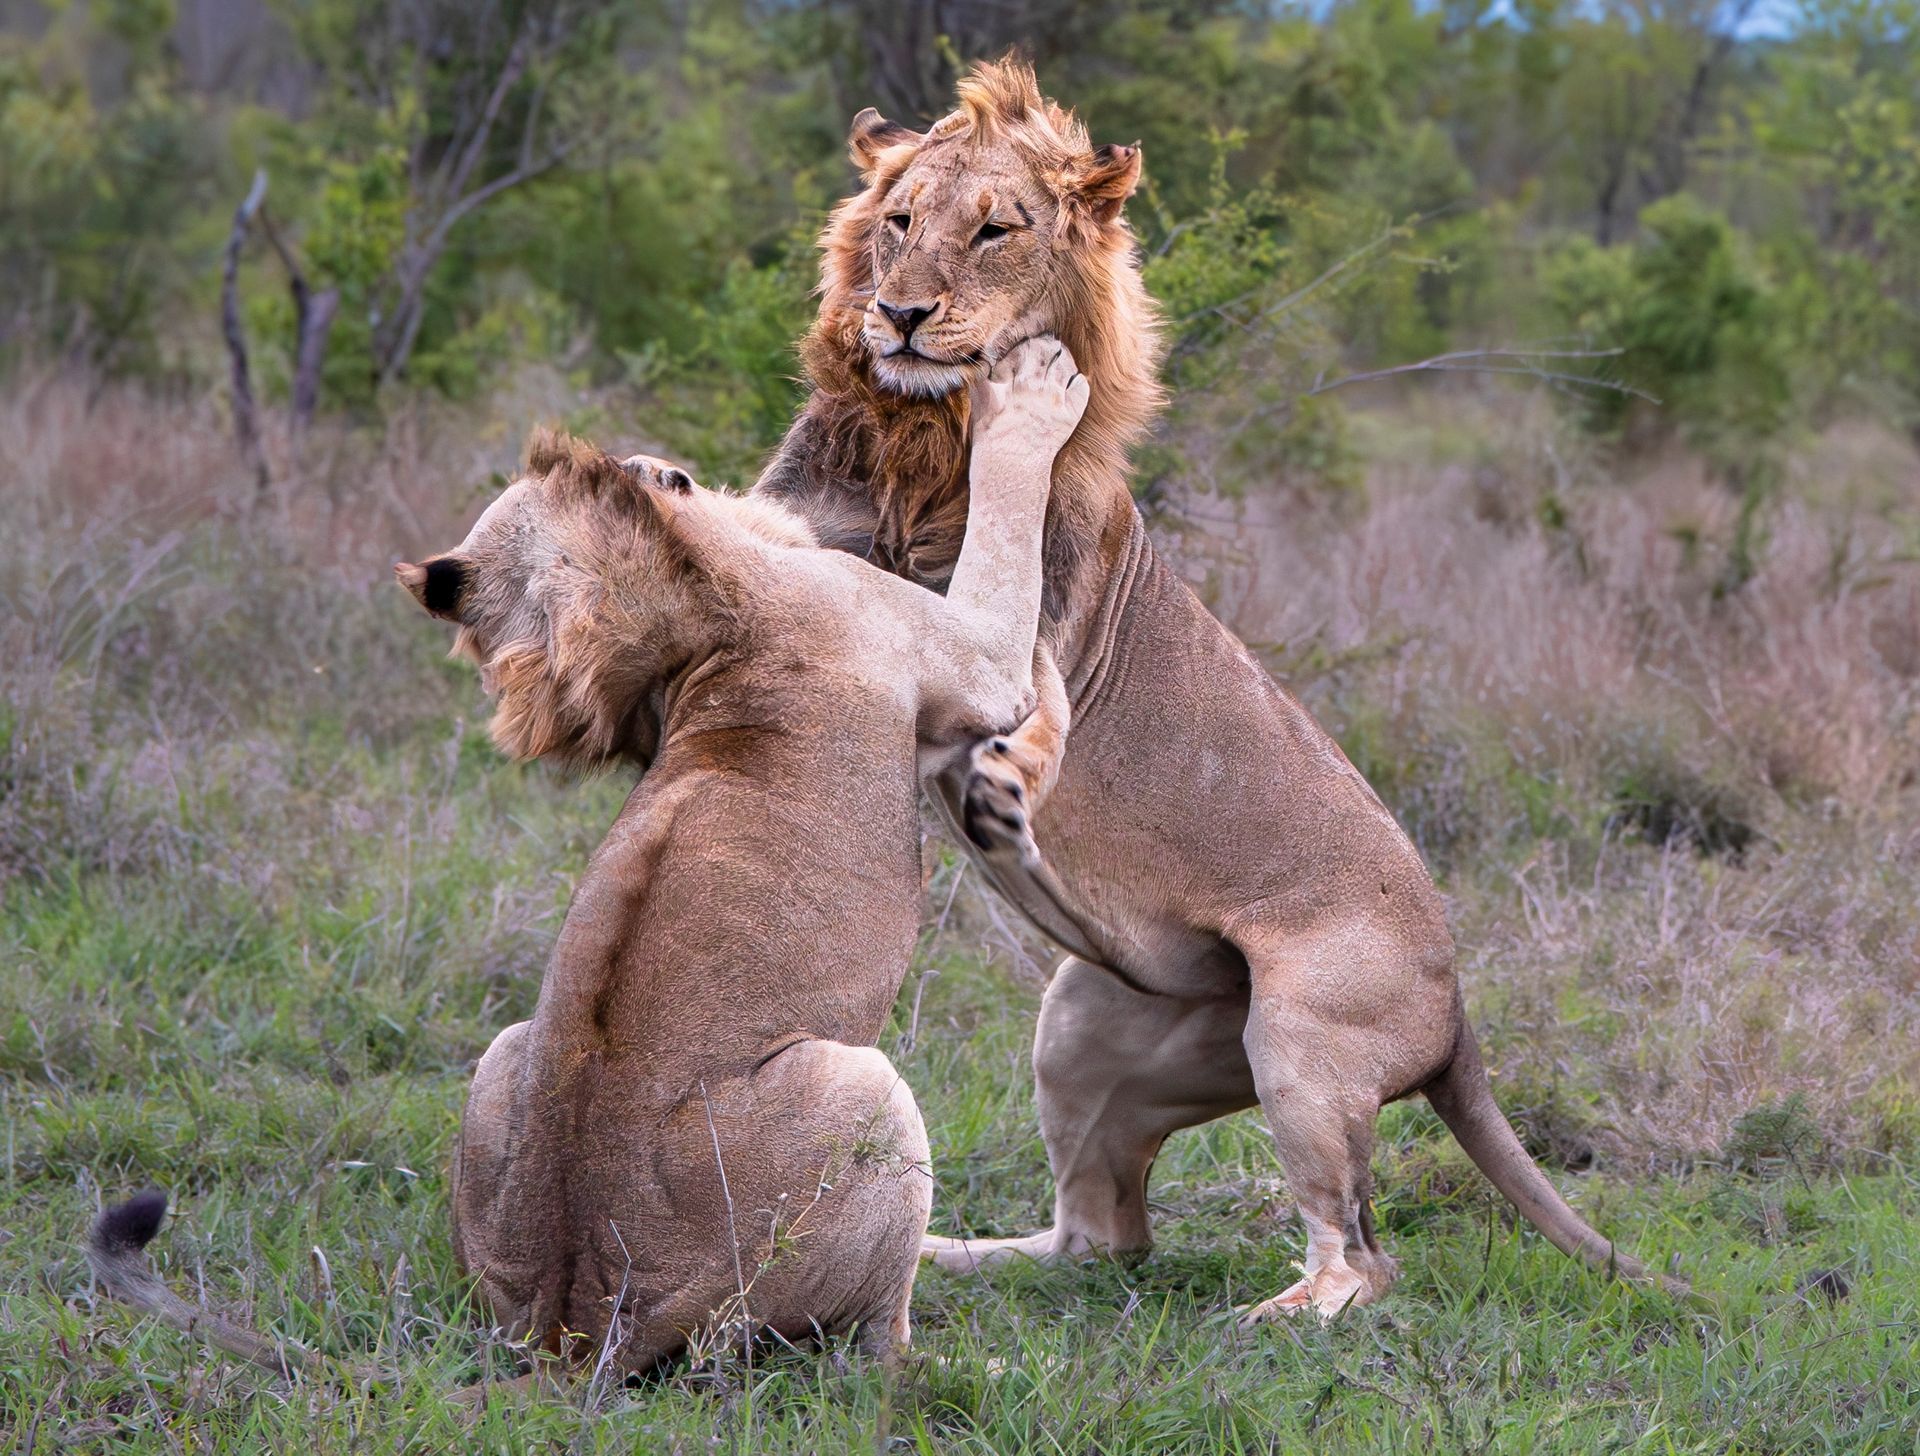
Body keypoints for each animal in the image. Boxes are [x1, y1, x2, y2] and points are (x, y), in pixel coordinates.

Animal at [87, 339, 1094, 1381]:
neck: (705, 617)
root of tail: (576, 1324)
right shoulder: (961, 653)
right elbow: (1013, 568)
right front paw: (1034, 398)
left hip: (506, 1055)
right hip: (865, 1093)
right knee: (872, 1348)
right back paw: (978, 1362)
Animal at [751, 59, 1678, 1318]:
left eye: (994, 230)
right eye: (898, 222)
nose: (897, 315)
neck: (920, 438)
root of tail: (1458, 1013)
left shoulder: (1035, 625)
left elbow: (1025, 685)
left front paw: (1006, 778)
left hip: (1301, 1036)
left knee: (1362, 1255)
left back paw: (1273, 1315)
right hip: (1084, 1020)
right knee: (1099, 1235)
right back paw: (952, 1250)